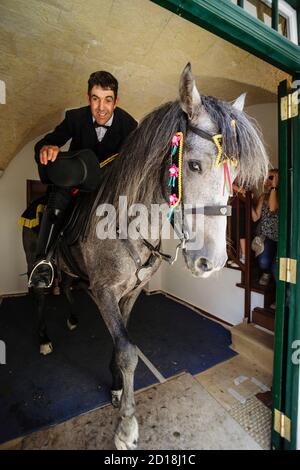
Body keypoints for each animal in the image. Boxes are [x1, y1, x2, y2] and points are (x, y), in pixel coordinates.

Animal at [22, 64, 268, 450]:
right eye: (193, 166)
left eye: (235, 174)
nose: (211, 262)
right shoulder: (105, 291)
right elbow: (127, 351)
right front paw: (126, 425)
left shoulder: (131, 292)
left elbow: (120, 344)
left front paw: (116, 389)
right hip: (36, 263)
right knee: (42, 296)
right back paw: (44, 338)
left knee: (70, 288)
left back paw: (73, 319)